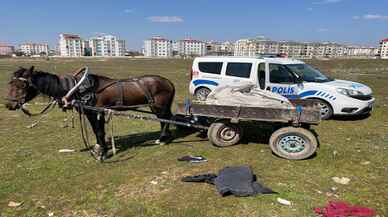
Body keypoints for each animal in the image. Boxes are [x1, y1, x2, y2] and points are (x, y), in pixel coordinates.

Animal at [5, 66, 176, 161]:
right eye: (10, 83)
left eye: (22, 85)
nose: (8, 104)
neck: (78, 89)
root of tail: (169, 82)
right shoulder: (92, 113)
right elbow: (96, 131)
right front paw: (99, 148)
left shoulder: (96, 113)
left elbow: (99, 131)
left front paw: (102, 153)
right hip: (156, 107)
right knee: (164, 120)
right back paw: (163, 138)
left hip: (159, 106)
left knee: (165, 119)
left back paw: (162, 139)